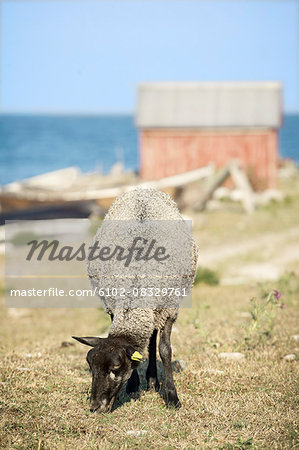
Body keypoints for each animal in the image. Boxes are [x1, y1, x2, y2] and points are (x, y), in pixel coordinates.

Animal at [73, 188, 199, 414]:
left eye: (115, 368)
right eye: (90, 367)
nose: (96, 407)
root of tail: (144, 189)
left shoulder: (169, 309)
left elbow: (165, 350)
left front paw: (172, 397)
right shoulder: (113, 305)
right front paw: (133, 385)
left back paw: (153, 381)